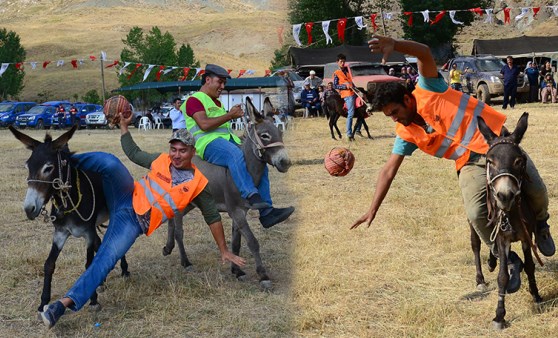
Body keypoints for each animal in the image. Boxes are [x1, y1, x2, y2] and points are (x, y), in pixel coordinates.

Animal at [8, 124, 131, 314]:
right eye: (27, 166)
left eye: (48, 168)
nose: (29, 209)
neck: (68, 202)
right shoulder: (60, 233)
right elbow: (49, 264)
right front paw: (43, 302)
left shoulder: (87, 233)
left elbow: (88, 264)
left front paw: (93, 300)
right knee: (100, 244)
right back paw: (101, 281)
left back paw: (124, 271)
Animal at [163, 96, 290, 290]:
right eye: (264, 136)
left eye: (280, 134)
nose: (286, 163)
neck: (244, 172)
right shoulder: (236, 211)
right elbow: (252, 241)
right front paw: (263, 275)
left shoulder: (241, 211)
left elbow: (236, 243)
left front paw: (237, 271)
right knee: (179, 231)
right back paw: (185, 262)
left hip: (191, 204)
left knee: (171, 220)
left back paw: (168, 248)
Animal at [474, 112, 544, 328]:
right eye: (490, 161)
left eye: (519, 161)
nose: (504, 196)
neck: (509, 213)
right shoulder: (502, 238)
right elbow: (502, 276)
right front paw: (499, 315)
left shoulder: (525, 235)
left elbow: (530, 266)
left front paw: (536, 296)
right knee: (476, 244)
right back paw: (480, 278)